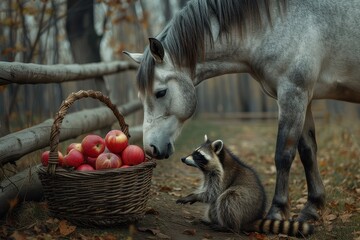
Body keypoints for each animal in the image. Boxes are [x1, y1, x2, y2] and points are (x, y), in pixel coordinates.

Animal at [124, 0, 360, 223]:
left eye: (160, 93)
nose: (151, 148)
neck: (277, 23)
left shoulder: (293, 93)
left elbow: (283, 155)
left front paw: (277, 211)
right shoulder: (304, 98)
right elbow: (308, 151)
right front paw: (312, 208)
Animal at [176, 135, 312, 238]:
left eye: (198, 155)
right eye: (194, 152)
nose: (182, 159)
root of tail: (251, 218)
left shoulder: (222, 176)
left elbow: (213, 193)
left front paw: (194, 196)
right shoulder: (209, 176)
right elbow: (208, 191)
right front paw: (195, 194)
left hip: (245, 202)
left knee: (228, 198)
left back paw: (228, 227)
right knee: (214, 206)